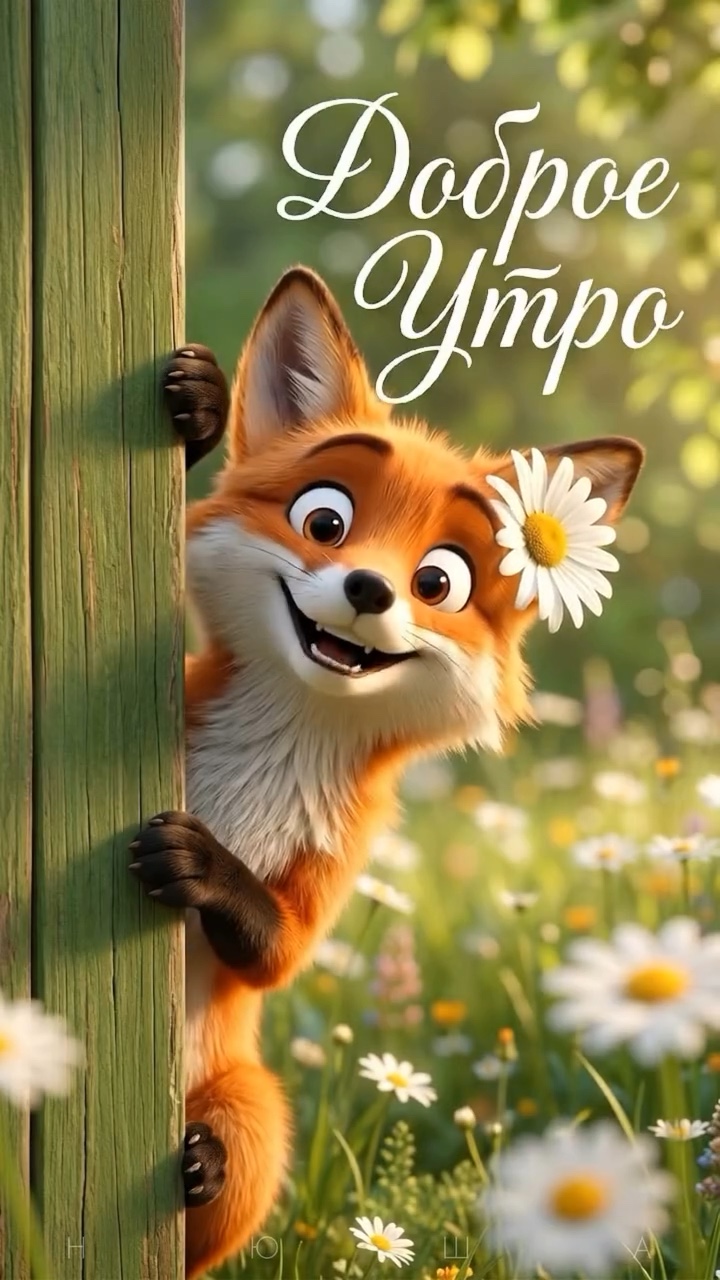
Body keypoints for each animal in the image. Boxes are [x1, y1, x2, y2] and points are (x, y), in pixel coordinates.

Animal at [129, 265, 644, 1278]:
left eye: (438, 580)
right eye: (324, 519)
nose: (368, 589)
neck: (282, 743)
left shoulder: (338, 860)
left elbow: (277, 946)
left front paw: (203, 866)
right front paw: (199, 412)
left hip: (256, 1111)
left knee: (215, 1206)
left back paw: (202, 1165)